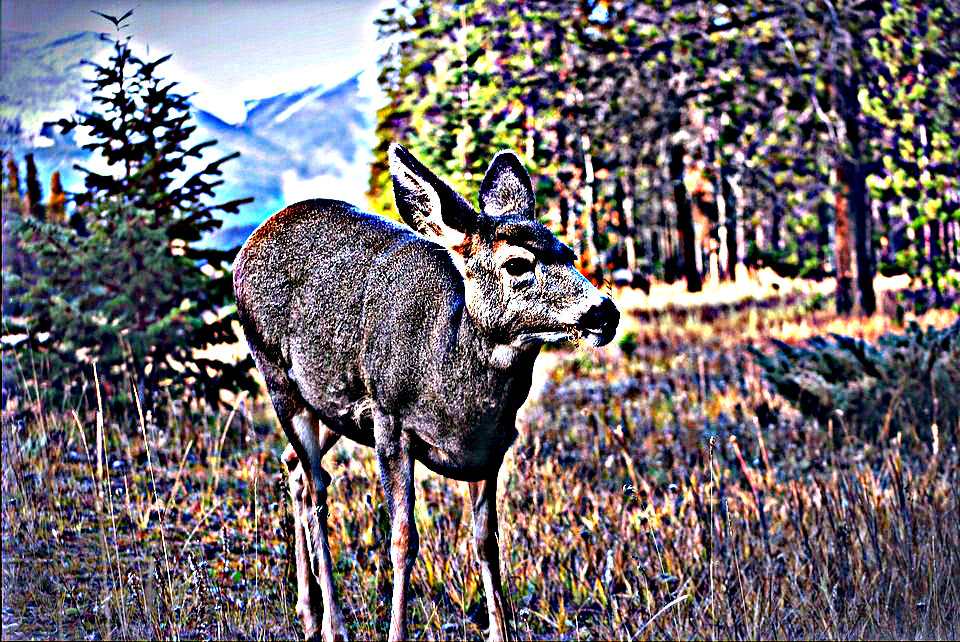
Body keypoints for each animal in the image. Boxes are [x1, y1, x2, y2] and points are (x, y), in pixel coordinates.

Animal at [236, 145, 620, 640]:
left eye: (569, 253)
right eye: (517, 263)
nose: (604, 311)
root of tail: (254, 238)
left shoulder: (491, 447)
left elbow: (486, 541)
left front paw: (500, 631)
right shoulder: (389, 421)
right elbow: (402, 540)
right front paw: (396, 632)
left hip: (331, 406)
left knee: (297, 472)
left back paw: (308, 613)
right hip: (278, 377)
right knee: (318, 494)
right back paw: (333, 625)